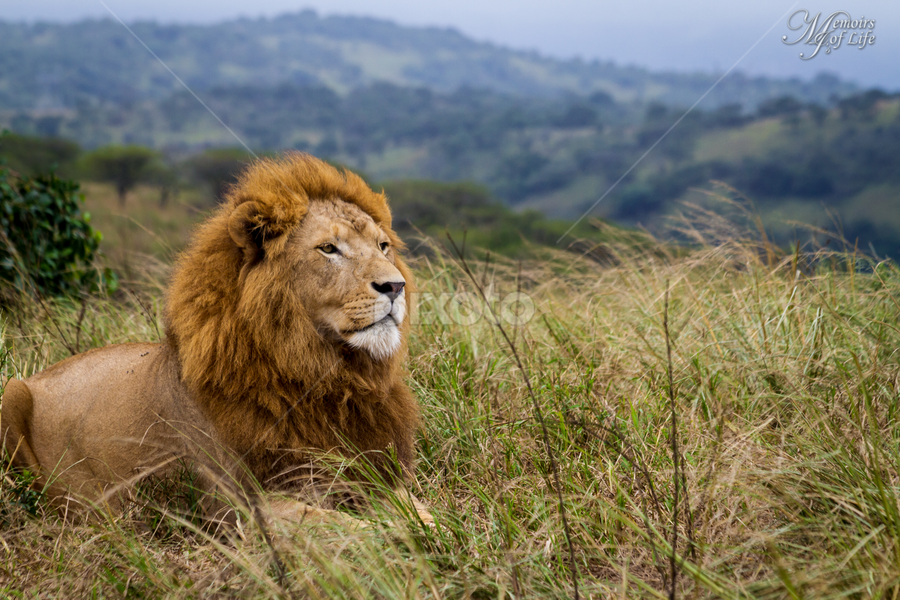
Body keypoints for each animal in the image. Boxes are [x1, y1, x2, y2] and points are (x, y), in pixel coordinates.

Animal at [1, 153, 432, 528]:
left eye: (383, 246)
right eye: (328, 248)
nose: (396, 286)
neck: (327, 377)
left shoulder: (373, 474)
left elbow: (421, 512)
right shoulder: (238, 508)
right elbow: (347, 529)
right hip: (11, 393)